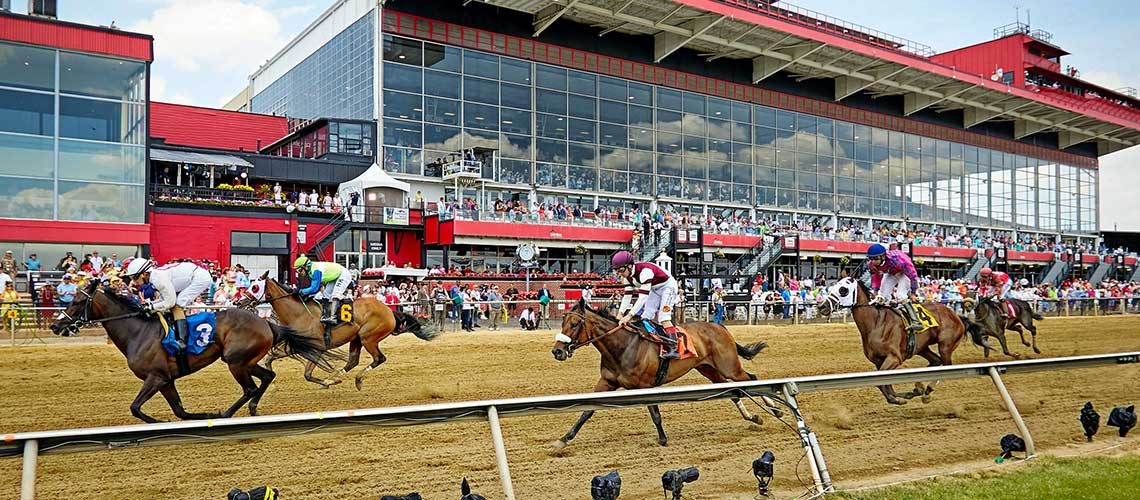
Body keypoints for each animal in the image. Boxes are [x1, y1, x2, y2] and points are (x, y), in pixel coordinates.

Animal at [51, 282, 335, 423]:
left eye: (77, 301)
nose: (55, 325)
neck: (138, 332)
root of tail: (267, 322)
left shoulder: (155, 377)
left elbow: (136, 408)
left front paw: (160, 423)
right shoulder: (166, 380)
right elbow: (179, 411)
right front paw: (196, 417)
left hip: (235, 361)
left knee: (250, 388)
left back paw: (227, 413)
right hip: (244, 360)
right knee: (266, 377)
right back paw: (251, 408)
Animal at [247, 274, 437, 391]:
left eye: (255, 287)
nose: (241, 299)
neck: (299, 313)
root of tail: (390, 311)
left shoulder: (317, 347)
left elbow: (307, 374)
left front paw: (326, 382)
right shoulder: (298, 344)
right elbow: (270, 358)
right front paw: (272, 383)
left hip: (368, 338)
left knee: (379, 358)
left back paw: (353, 379)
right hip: (357, 339)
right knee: (353, 361)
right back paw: (335, 377)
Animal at [549, 298, 775, 448]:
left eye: (574, 324)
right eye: (563, 323)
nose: (557, 351)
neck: (623, 346)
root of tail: (720, 327)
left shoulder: (645, 386)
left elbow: (655, 414)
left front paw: (663, 439)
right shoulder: (607, 382)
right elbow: (587, 411)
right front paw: (563, 439)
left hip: (729, 367)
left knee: (752, 379)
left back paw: (775, 410)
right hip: (708, 369)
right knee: (733, 390)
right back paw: (754, 417)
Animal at [816, 277, 994, 407]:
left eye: (843, 290)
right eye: (831, 288)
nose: (822, 307)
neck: (876, 323)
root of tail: (956, 315)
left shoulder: (894, 357)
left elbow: (883, 383)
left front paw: (897, 398)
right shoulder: (878, 361)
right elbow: (883, 383)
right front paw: (901, 396)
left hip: (946, 345)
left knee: (945, 365)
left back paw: (926, 389)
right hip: (922, 348)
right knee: (936, 362)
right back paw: (919, 387)